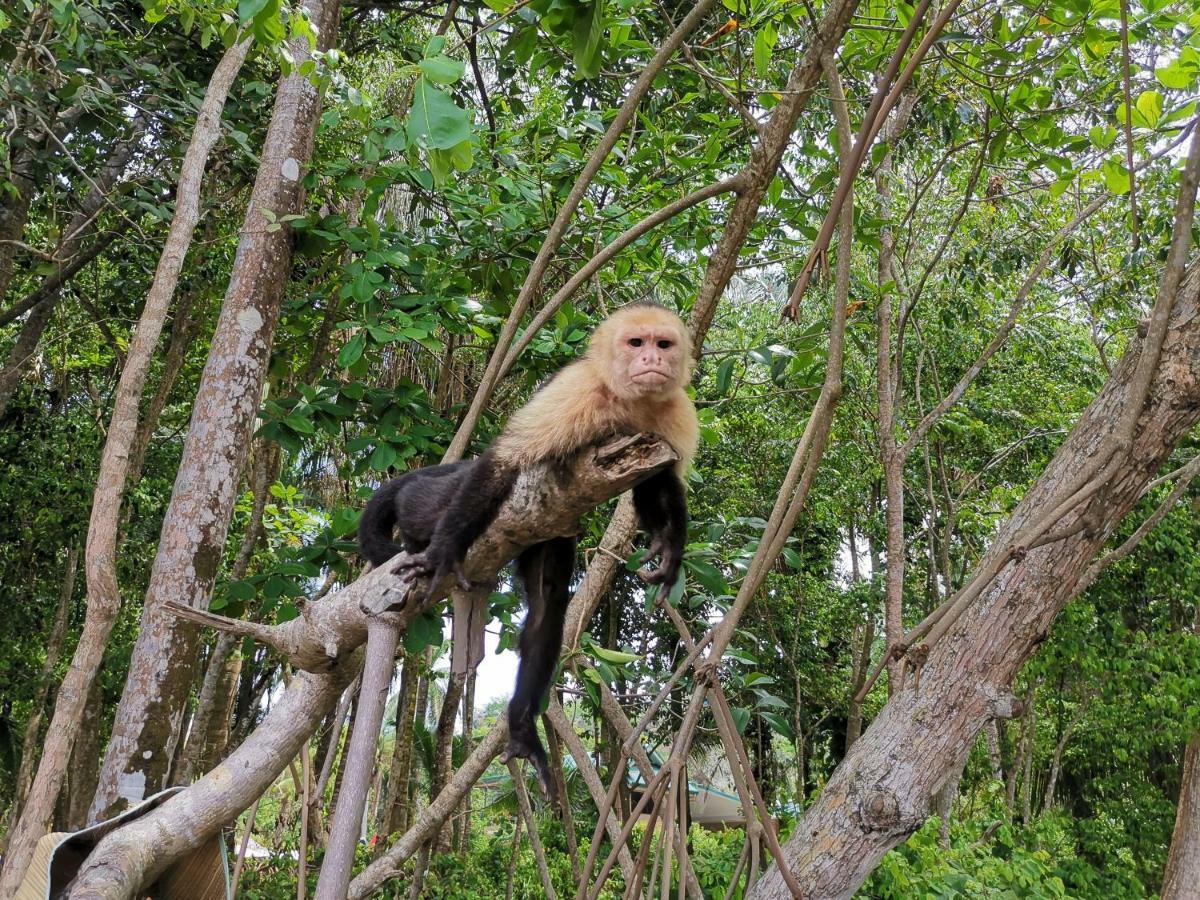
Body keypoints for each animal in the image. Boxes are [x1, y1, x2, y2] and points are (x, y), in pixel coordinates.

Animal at [362, 303, 700, 796]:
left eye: (664, 343)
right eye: (636, 343)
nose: (651, 359)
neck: (629, 401)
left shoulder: (673, 413)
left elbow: (659, 480)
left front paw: (671, 549)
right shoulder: (576, 389)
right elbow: (506, 459)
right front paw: (443, 551)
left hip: (546, 532)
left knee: (548, 604)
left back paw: (522, 730)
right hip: (456, 500)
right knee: (440, 497)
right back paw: (421, 524)